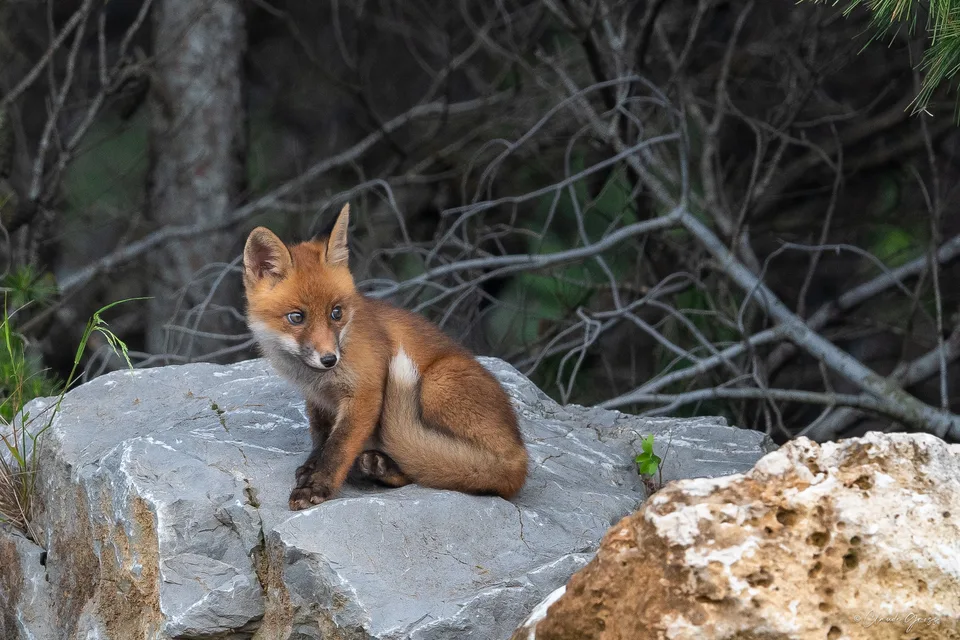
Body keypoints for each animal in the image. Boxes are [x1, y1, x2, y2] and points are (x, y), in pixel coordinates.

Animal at [242, 204, 529, 510]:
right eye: (296, 317)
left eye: (336, 312)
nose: (330, 359)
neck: (318, 380)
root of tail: (521, 458)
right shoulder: (317, 401)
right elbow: (320, 439)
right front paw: (311, 467)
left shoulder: (365, 393)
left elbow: (337, 447)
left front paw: (317, 485)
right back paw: (379, 467)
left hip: (436, 384)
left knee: (452, 470)